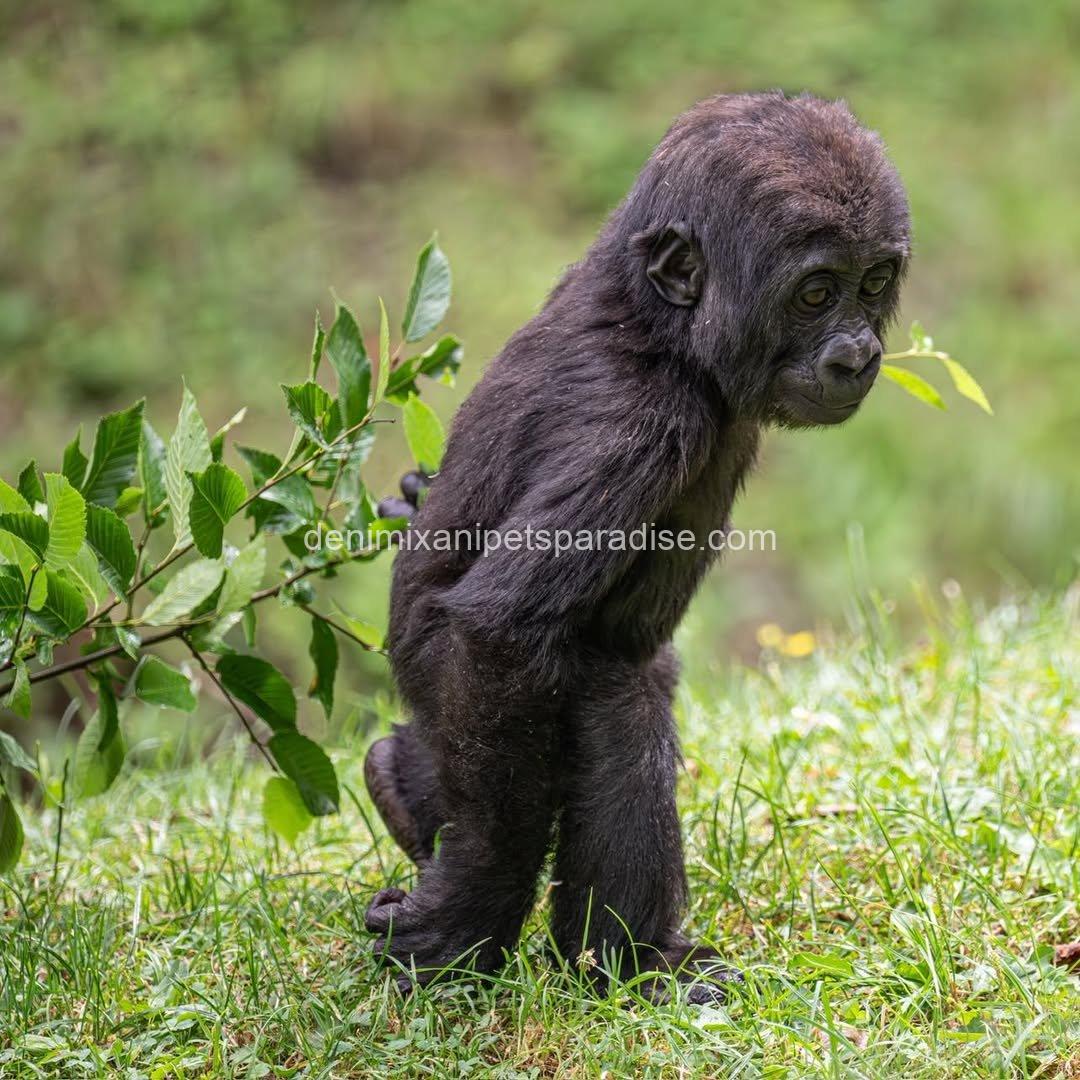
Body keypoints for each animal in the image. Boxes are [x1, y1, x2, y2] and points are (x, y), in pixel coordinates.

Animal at [363, 91, 910, 1002]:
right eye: (814, 293)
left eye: (873, 285)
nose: (858, 354)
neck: (667, 333)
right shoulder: (631, 425)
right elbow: (502, 629)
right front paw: (470, 910)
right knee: (612, 696)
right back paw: (630, 957)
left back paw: (407, 788)